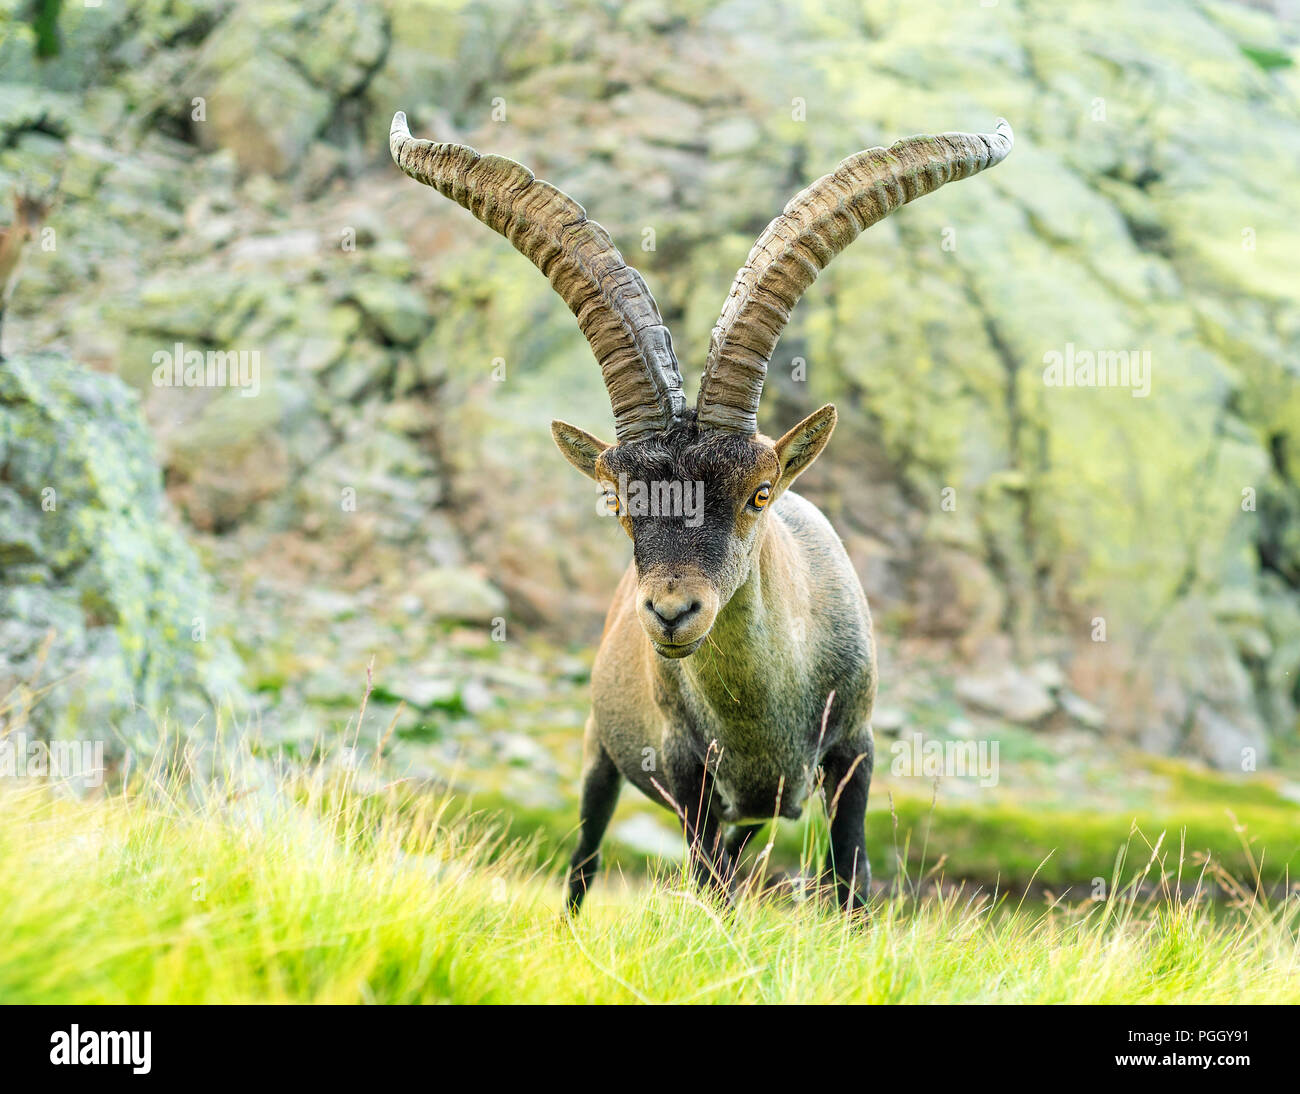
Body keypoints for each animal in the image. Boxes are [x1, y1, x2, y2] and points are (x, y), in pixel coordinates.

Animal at [390, 111, 1013, 913]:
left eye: (760, 493)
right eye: (619, 502)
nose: (670, 613)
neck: (765, 713)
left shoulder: (855, 748)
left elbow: (851, 880)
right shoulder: (688, 772)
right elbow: (708, 887)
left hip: (751, 811)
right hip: (600, 749)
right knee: (586, 858)